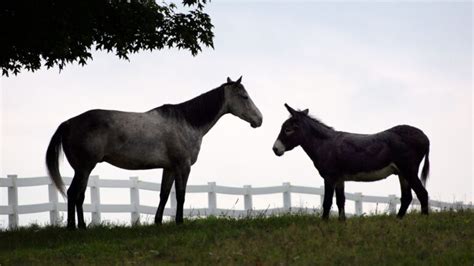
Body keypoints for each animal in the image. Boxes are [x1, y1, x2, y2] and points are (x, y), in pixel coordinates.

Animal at [45, 77, 262, 229]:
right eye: (244, 96)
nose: (259, 119)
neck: (186, 121)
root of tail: (68, 123)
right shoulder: (183, 166)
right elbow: (180, 195)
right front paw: (179, 222)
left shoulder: (169, 168)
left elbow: (164, 195)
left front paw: (158, 222)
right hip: (84, 168)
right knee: (73, 194)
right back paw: (74, 227)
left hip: (84, 170)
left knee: (79, 196)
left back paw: (81, 226)